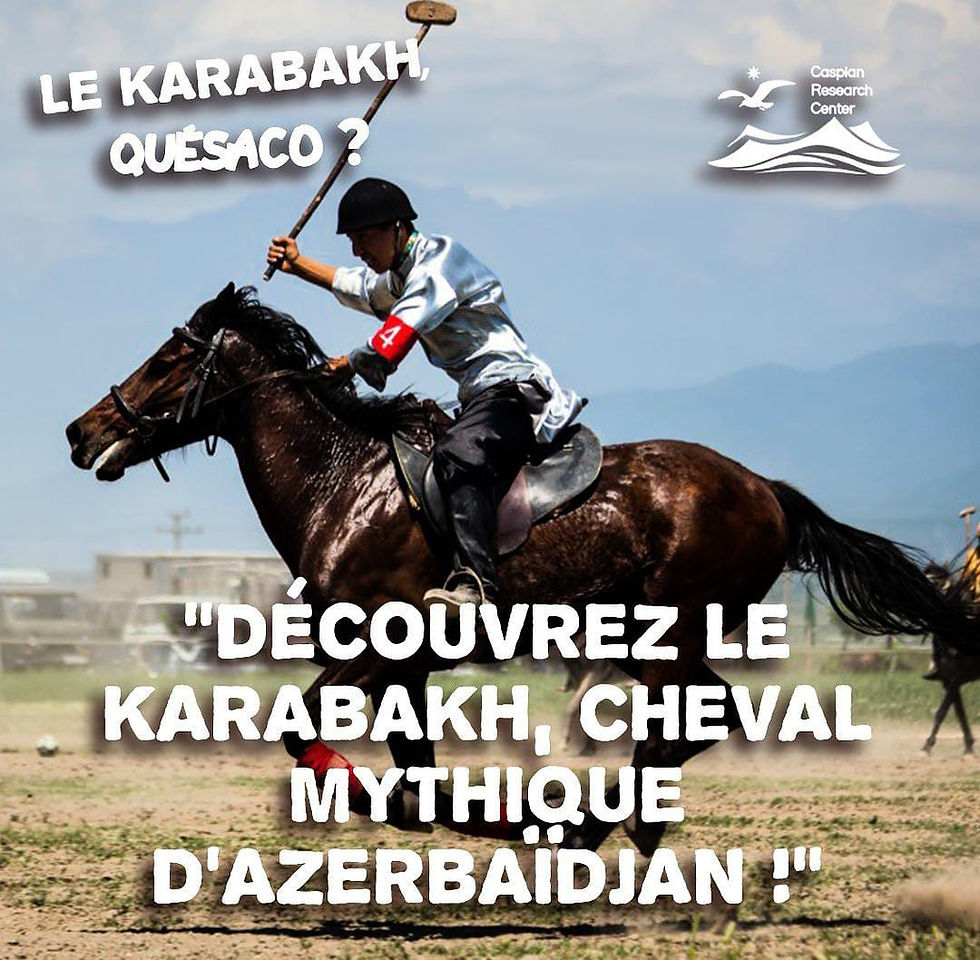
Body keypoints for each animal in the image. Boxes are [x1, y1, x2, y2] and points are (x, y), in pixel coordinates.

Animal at [65, 283, 978, 853]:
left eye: (169, 359)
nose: (81, 431)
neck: (342, 482)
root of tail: (768, 489)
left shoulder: (376, 651)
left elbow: (303, 732)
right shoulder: (406, 667)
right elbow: (415, 769)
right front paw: (443, 813)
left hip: (669, 632)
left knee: (693, 718)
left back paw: (600, 824)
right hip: (645, 638)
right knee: (697, 717)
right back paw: (605, 824)